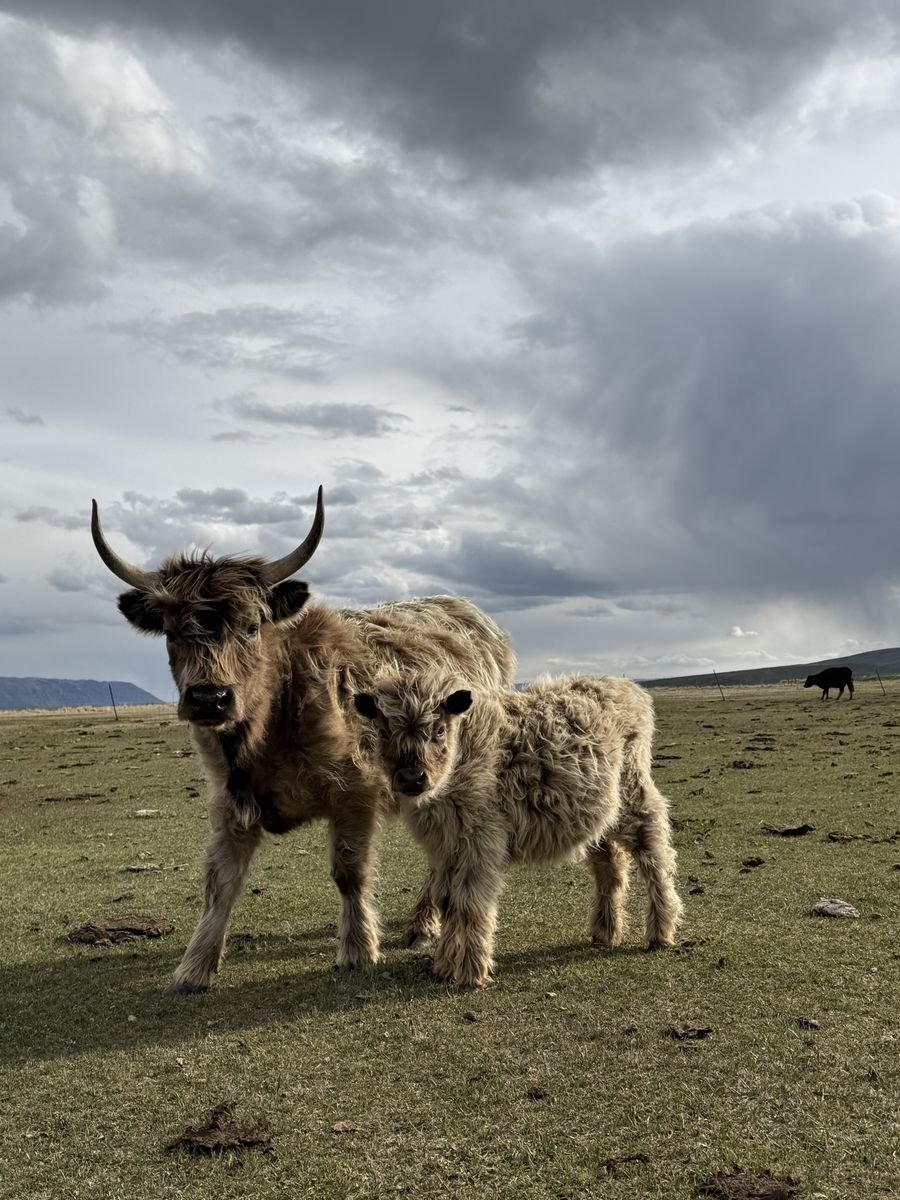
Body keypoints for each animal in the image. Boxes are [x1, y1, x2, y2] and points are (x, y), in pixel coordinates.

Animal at [90, 487, 516, 993]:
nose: (209, 698)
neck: (271, 729)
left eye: (252, 626)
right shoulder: (229, 801)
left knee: (443, 849)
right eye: (172, 633)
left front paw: (357, 949)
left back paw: (423, 922)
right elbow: (219, 884)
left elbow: (349, 871)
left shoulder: (355, 793)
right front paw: (193, 968)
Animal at [353, 671, 683, 988]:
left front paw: (470, 973)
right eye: (384, 731)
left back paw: (660, 931)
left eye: (438, 731)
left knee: (655, 853)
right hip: (599, 815)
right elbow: (448, 902)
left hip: (633, 795)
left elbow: (470, 903)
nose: (412, 778)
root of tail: (626, 687)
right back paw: (605, 930)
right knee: (609, 867)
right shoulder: (444, 847)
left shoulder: (482, 841)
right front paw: (445, 966)